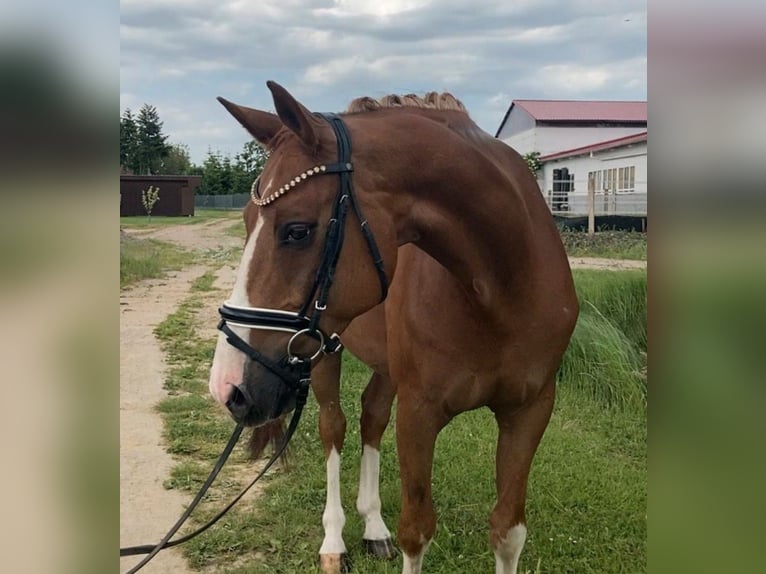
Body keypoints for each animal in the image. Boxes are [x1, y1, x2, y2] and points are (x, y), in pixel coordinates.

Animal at [207, 82, 580, 574]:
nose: (228, 386)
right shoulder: (419, 413)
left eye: (297, 230)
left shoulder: (529, 411)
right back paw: (334, 542)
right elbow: (416, 530)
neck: (502, 288)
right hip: (322, 354)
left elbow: (508, 531)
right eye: (247, 222)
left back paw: (373, 527)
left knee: (371, 416)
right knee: (334, 427)